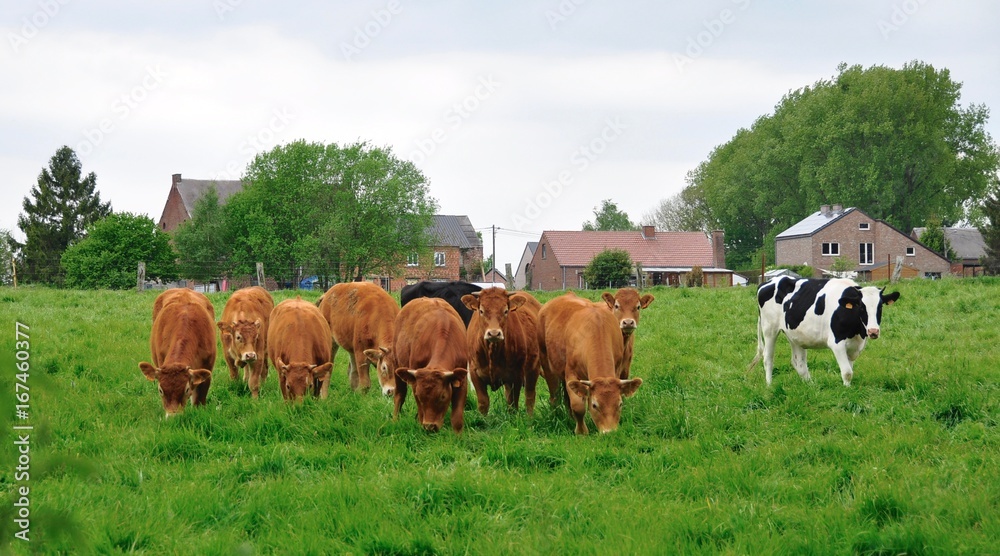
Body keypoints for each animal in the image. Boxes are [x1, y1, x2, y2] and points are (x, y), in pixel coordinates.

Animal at [390, 298, 468, 432]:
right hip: (396, 364)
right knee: (400, 394)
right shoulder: (415, 384)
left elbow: (457, 418)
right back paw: (395, 419)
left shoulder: (462, 381)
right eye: (419, 396)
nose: (430, 426)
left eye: (442, 396)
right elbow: (421, 412)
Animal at [540, 292, 640, 434]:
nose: (609, 432)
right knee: (555, 395)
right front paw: (581, 432)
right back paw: (556, 415)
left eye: (620, 404)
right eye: (594, 405)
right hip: (547, 365)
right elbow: (578, 406)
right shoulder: (571, 374)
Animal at [748, 276, 904, 386]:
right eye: (861, 306)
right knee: (768, 358)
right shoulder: (837, 343)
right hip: (769, 329)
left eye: (880, 306)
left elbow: (850, 370)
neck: (857, 332)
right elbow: (847, 372)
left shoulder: (855, 346)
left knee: (799, 363)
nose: (873, 331)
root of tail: (768, 282)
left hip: (795, 335)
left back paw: (811, 386)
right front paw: (847, 390)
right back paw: (769, 385)